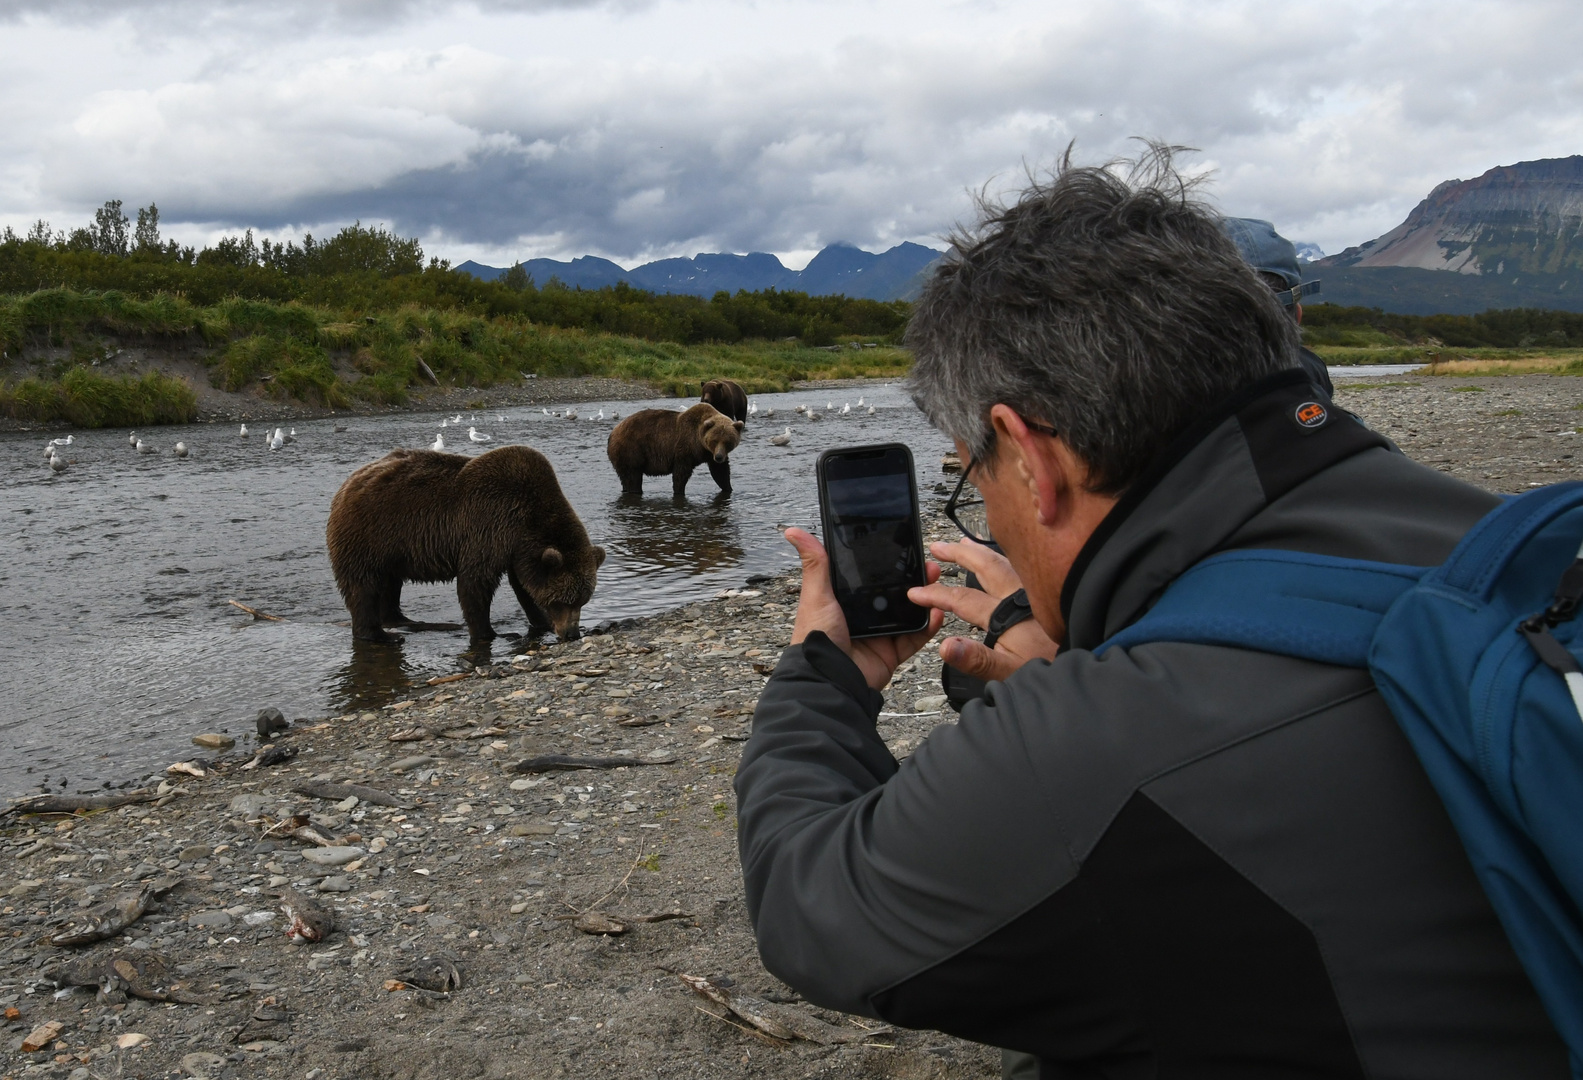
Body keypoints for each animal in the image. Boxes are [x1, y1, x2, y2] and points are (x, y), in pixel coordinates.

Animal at [324, 443, 601, 642]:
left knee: (391, 582)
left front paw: (540, 621)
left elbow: (523, 586)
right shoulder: (488, 527)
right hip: (368, 533)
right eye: (564, 600)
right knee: (364, 585)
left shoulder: (518, 550)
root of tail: (348, 482)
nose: (572, 634)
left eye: (582, 600)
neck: (525, 522)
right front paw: (491, 633)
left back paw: (403, 620)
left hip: (389, 546)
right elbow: (475, 583)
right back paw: (381, 635)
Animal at [611, 403, 747, 497]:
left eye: (728, 442)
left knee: (625, 478)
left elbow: (721, 472)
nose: (718, 457)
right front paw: (679, 491)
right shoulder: (685, 447)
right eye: (714, 440)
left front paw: (729, 488)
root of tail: (613, 432)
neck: (700, 443)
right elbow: (681, 473)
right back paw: (636, 490)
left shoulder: (710, 454)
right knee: (633, 476)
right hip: (631, 449)